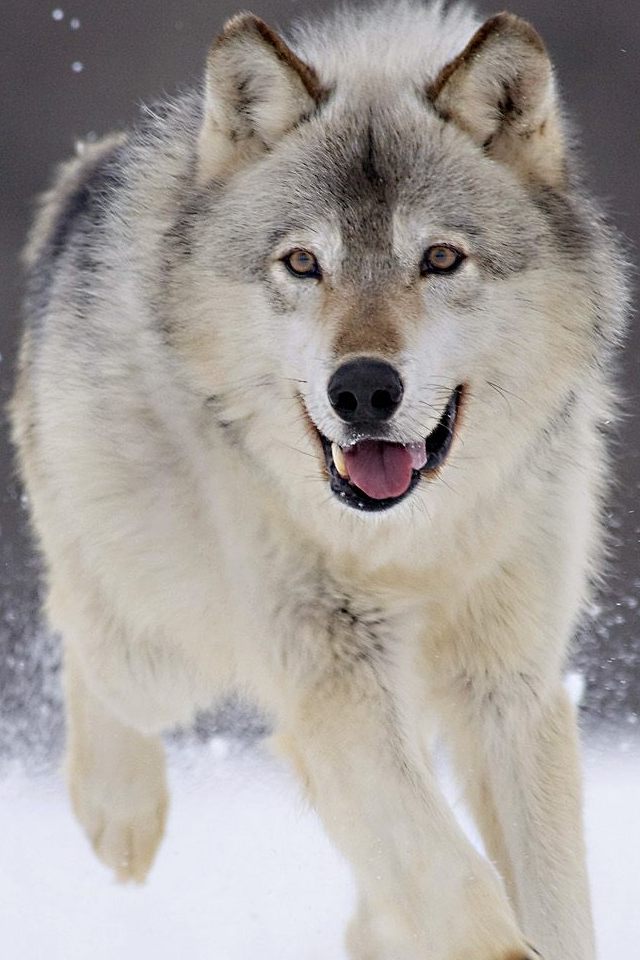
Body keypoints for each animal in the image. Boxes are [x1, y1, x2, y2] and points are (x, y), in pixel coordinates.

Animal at [10, 1, 629, 957]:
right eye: (303, 263)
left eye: (440, 259)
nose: (364, 388)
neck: (409, 542)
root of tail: (88, 172)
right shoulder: (331, 669)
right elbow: (457, 887)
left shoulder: (509, 684)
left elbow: (544, 899)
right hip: (163, 647)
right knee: (83, 632)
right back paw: (121, 815)